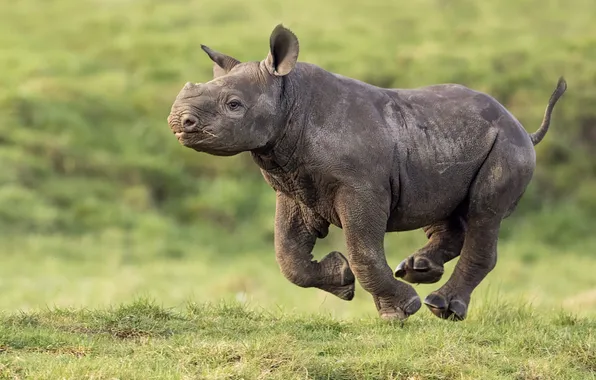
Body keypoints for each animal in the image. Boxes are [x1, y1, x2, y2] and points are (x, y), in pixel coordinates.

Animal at [165, 23, 564, 320]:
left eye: (234, 105)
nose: (179, 121)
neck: (288, 97)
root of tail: (523, 128)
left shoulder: (360, 188)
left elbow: (363, 252)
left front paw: (400, 310)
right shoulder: (294, 186)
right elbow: (288, 255)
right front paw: (342, 279)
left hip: (506, 147)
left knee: (485, 212)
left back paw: (441, 307)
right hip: (449, 144)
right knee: (449, 207)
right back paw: (419, 270)